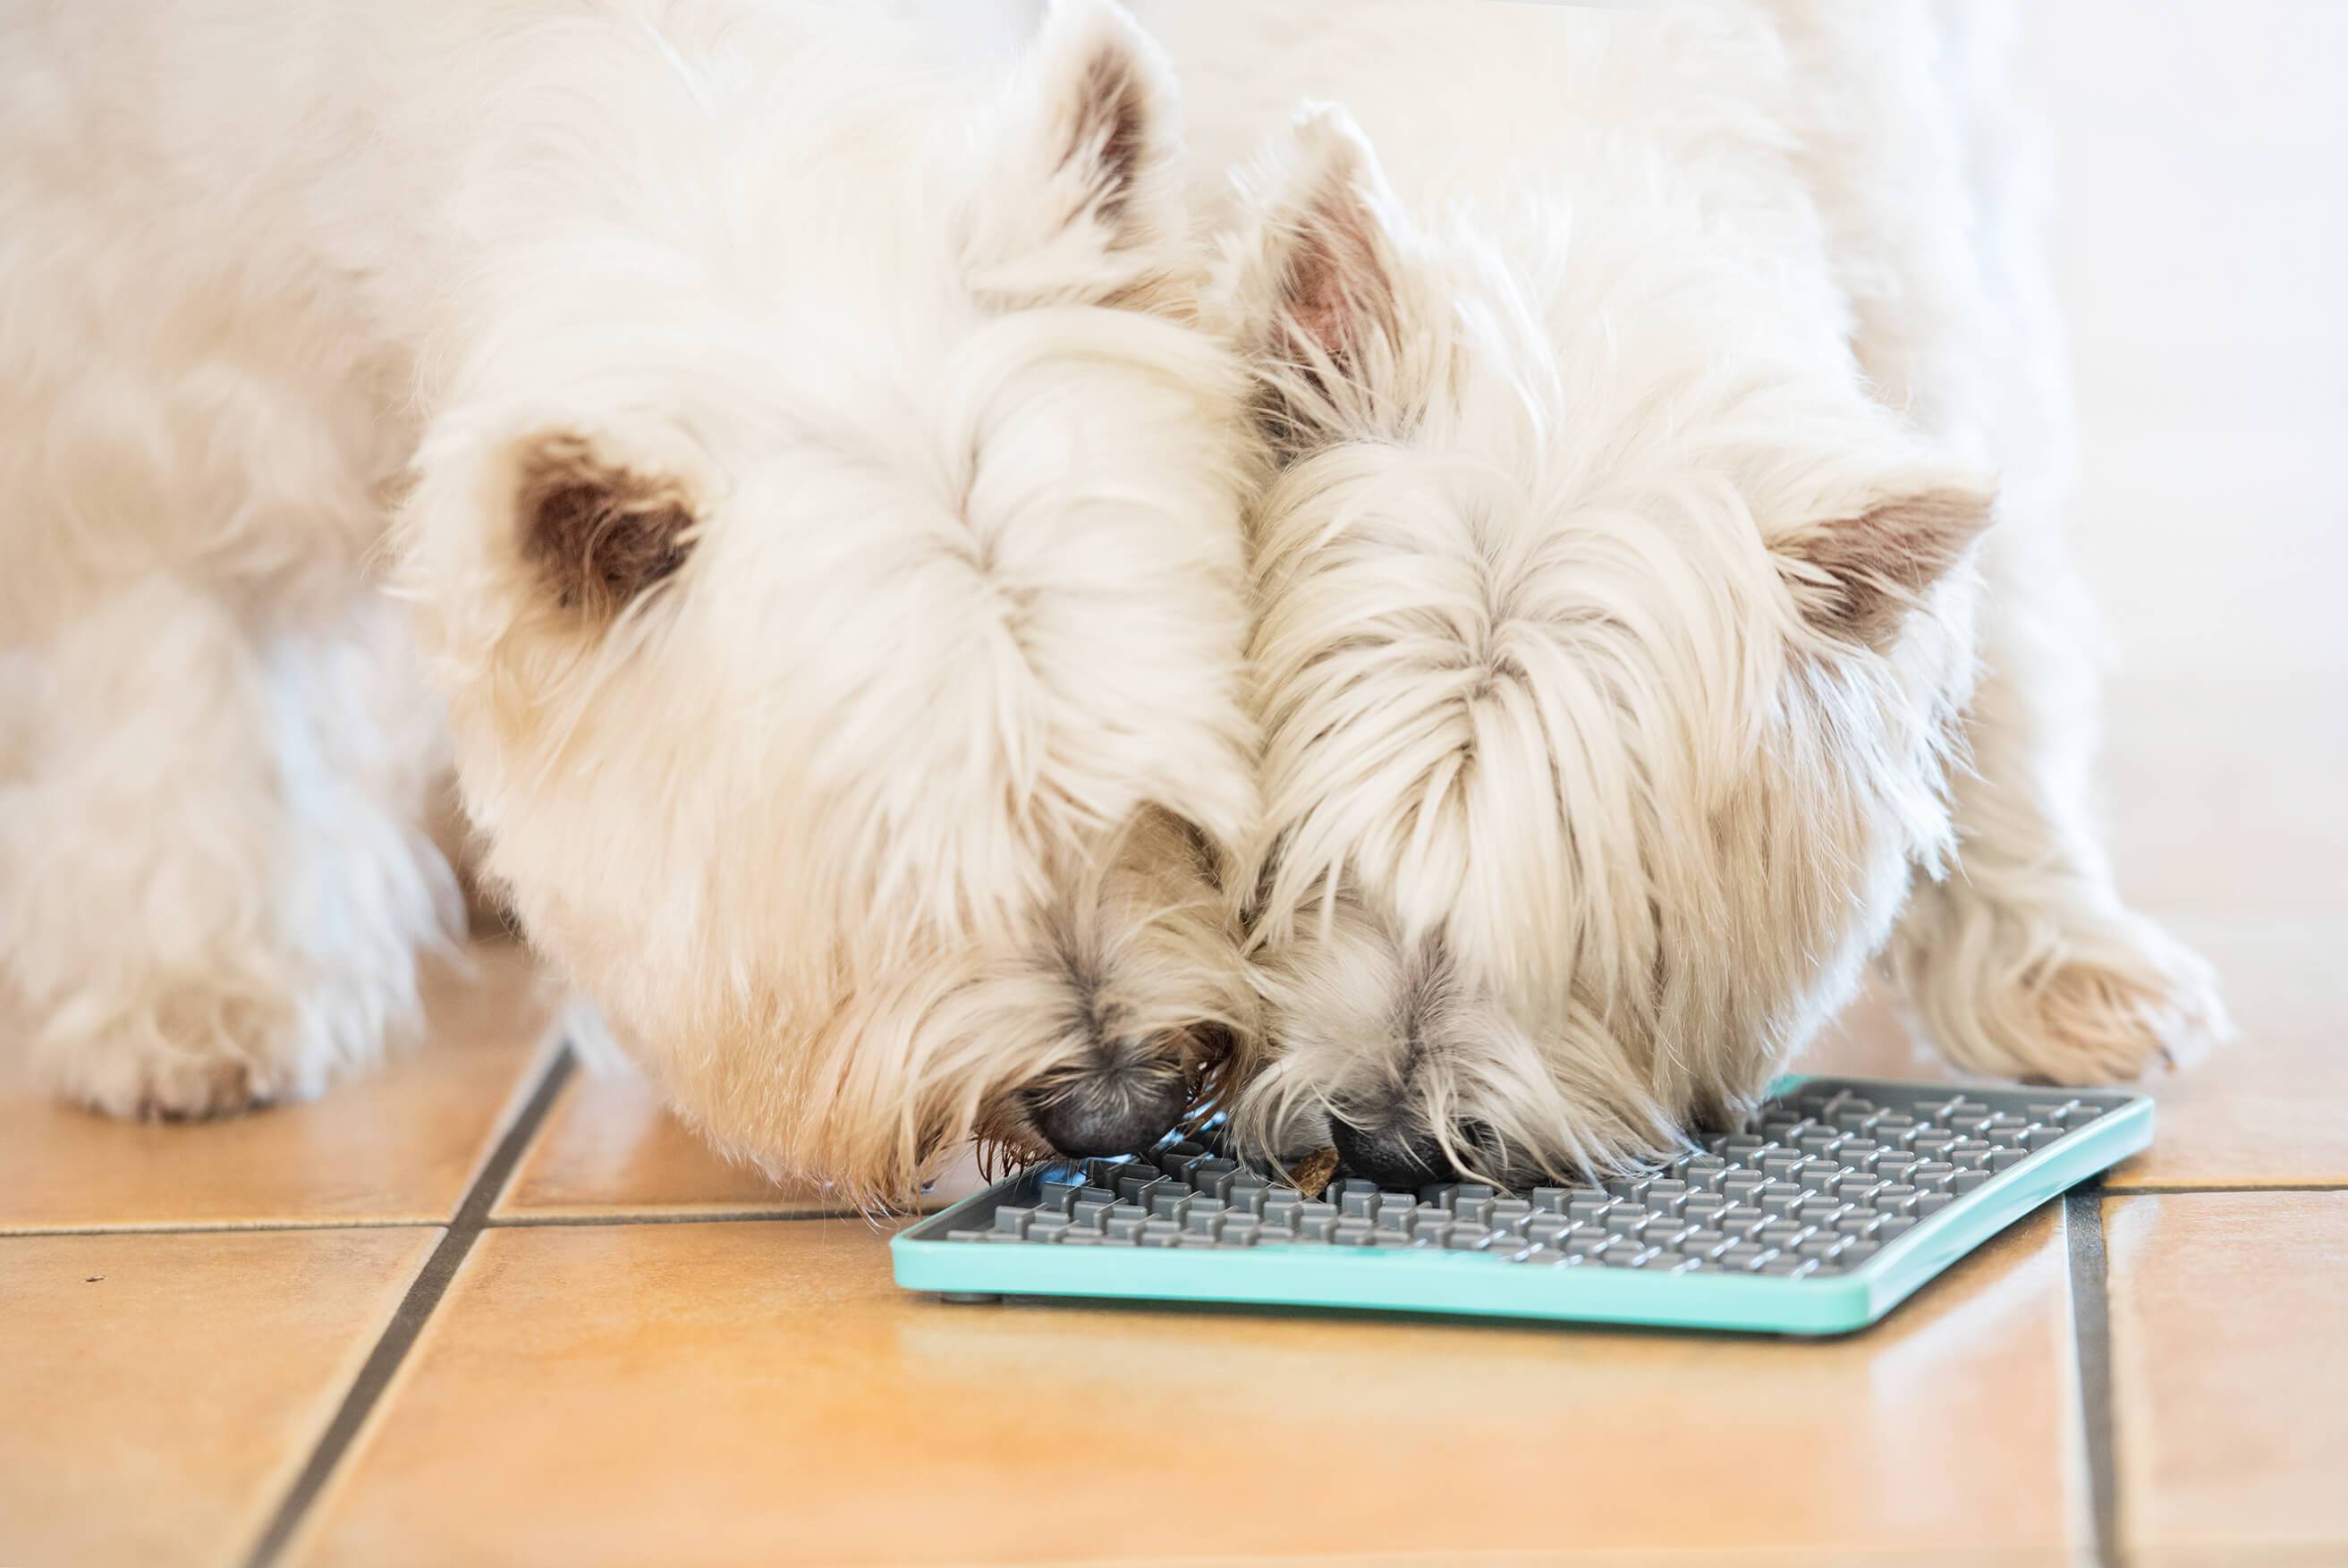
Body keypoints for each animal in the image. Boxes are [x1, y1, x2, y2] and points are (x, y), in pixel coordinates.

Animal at [4, 0, 1267, 1211]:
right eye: (889, 871)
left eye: (1162, 797)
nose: (1117, 1109)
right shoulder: (133, 395)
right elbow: (169, 664)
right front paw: (189, 996)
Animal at [1132, 0, 2235, 1182]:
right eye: (1304, 863)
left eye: (1601, 921)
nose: (1386, 1136)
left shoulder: (1924, 315)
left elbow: (2007, 655)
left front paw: (2060, 965)